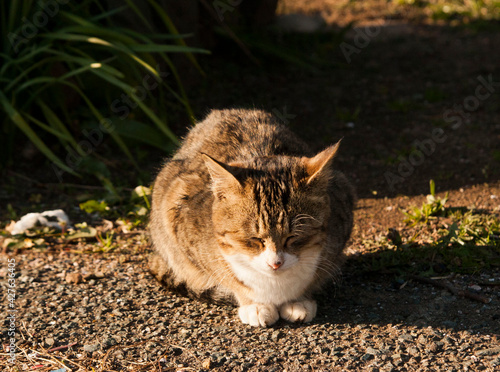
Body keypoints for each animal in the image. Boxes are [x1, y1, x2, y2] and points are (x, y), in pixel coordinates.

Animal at [149, 109, 356, 326]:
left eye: (293, 237)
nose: (275, 263)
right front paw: (254, 304)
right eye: (254, 239)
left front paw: (298, 300)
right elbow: (230, 279)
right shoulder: (178, 217)